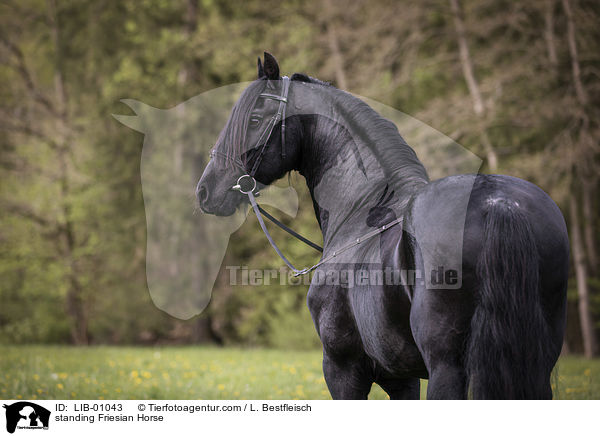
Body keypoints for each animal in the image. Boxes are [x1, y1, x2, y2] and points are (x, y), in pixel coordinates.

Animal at [198, 52, 572, 400]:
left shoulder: (344, 369)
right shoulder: (402, 378)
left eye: (255, 119)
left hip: (446, 368)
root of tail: (498, 202)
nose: (205, 190)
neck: (362, 214)